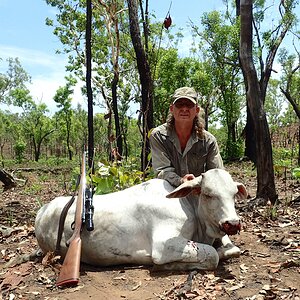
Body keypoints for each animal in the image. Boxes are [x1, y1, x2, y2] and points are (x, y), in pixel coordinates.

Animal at [35, 169, 247, 270]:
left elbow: (233, 249)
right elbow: (212, 256)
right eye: (208, 194)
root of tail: (40, 214)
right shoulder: (163, 246)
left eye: (234, 194)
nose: (232, 223)